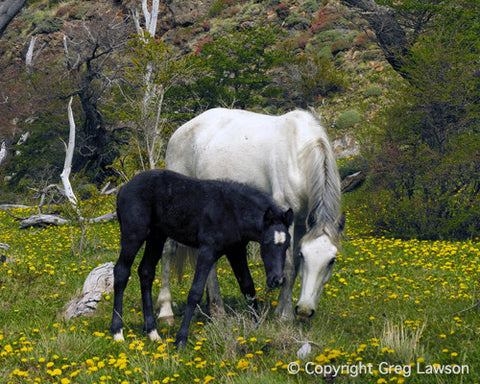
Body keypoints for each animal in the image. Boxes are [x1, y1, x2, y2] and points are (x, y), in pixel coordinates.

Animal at [157, 109, 342, 324]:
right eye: (306, 255)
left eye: (332, 260)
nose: (304, 311)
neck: (300, 155)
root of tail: (180, 132)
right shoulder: (285, 215)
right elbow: (288, 266)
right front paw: (285, 316)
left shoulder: (302, 221)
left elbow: (294, 266)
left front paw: (282, 310)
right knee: (168, 250)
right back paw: (167, 312)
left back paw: (213, 310)